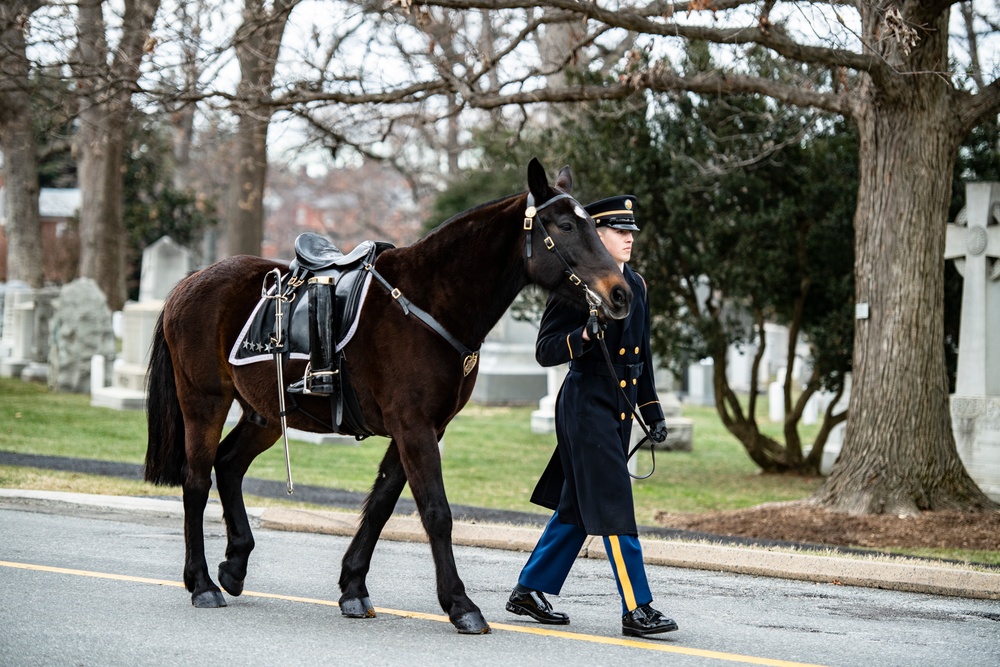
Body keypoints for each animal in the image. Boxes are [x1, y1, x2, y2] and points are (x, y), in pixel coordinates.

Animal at [145, 159, 628, 636]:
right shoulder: (413, 426)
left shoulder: (422, 428)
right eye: (565, 225)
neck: (431, 300)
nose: (619, 293)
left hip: (265, 414)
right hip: (205, 402)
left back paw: (233, 566)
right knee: (197, 479)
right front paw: (460, 604)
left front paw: (353, 587)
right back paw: (202, 583)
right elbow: (436, 511)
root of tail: (190, 281)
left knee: (228, 465)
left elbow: (380, 505)